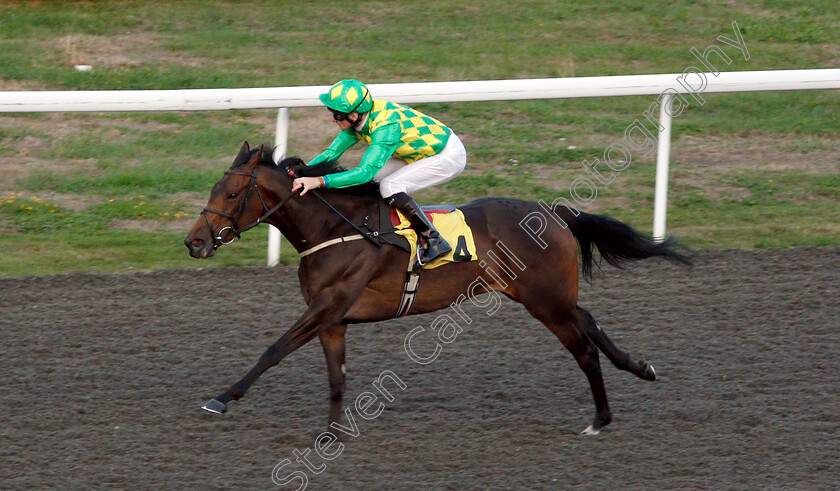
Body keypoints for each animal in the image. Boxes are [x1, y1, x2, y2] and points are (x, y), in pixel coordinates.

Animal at [184, 141, 688, 434]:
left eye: (232, 195)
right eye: (211, 190)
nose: (194, 242)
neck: (334, 229)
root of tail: (556, 212)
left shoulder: (328, 305)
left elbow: (274, 349)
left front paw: (221, 398)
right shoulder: (333, 318)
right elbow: (336, 377)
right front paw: (332, 431)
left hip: (545, 302)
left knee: (583, 348)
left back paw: (599, 420)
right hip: (551, 298)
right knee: (591, 322)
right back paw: (639, 368)